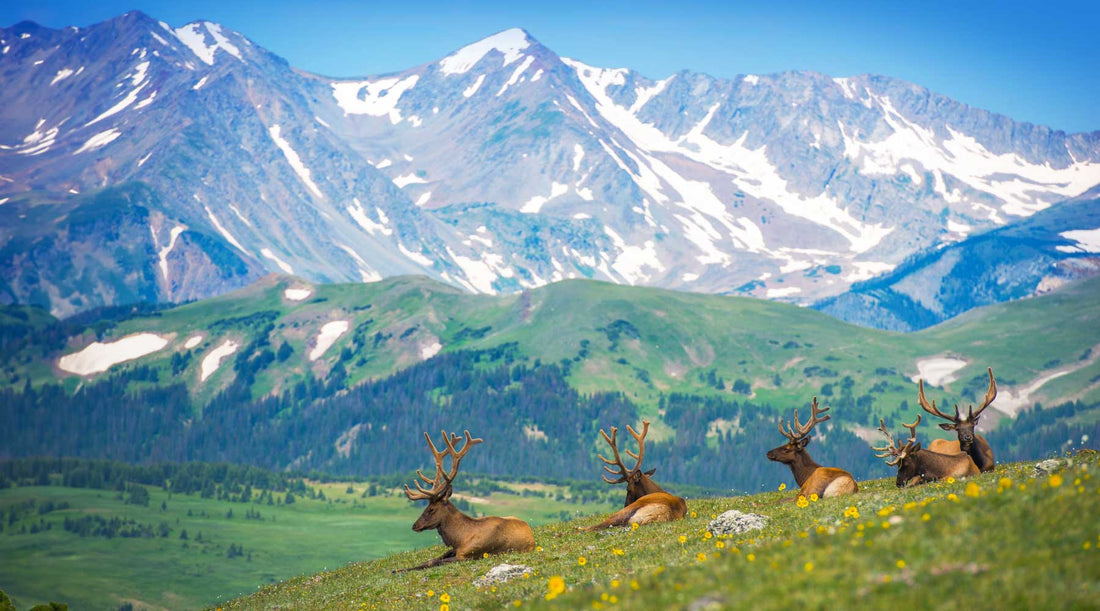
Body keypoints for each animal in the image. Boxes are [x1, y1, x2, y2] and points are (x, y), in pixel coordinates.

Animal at [393, 429, 534, 572]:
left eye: (431, 509)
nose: (415, 525)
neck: (460, 538)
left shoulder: (468, 555)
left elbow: (436, 562)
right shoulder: (454, 550)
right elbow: (430, 560)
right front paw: (397, 570)